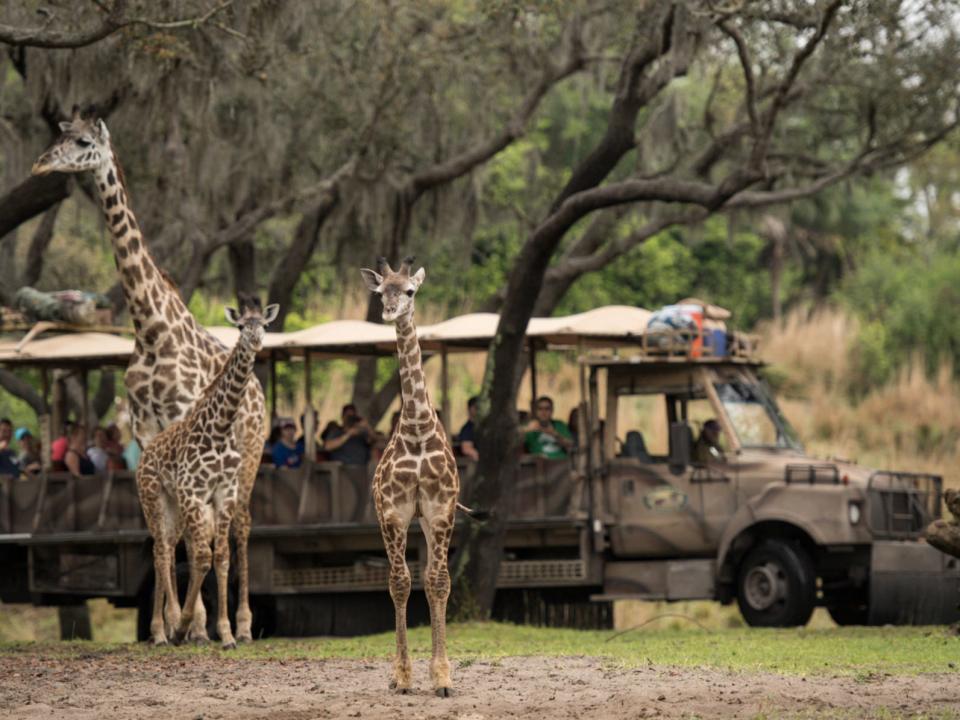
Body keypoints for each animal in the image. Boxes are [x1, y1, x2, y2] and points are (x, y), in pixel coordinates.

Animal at [32, 108, 264, 640]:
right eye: (59, 135)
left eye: (83, 142)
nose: (41, 164)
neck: (151, 327)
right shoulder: (144, 428)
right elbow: (163, 532)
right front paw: (164, 625)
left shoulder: (181, 417)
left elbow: (197, 535)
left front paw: (196, 625)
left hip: (252, 453)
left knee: (240, 525)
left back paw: (241, 623)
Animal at [137, 296, 278, 648]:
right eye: (241, 326)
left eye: (264, 324)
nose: (256, 341)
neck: (221, 427)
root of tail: (145, 452)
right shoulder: (195, 492)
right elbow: (201, 555)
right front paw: (185, 626)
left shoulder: (223, 493)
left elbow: (222, 556)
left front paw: (227, 633)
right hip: (153, 497)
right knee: (161, 550)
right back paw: (163, 631)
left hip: (174, 504)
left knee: (167, 547)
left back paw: (166, 628)